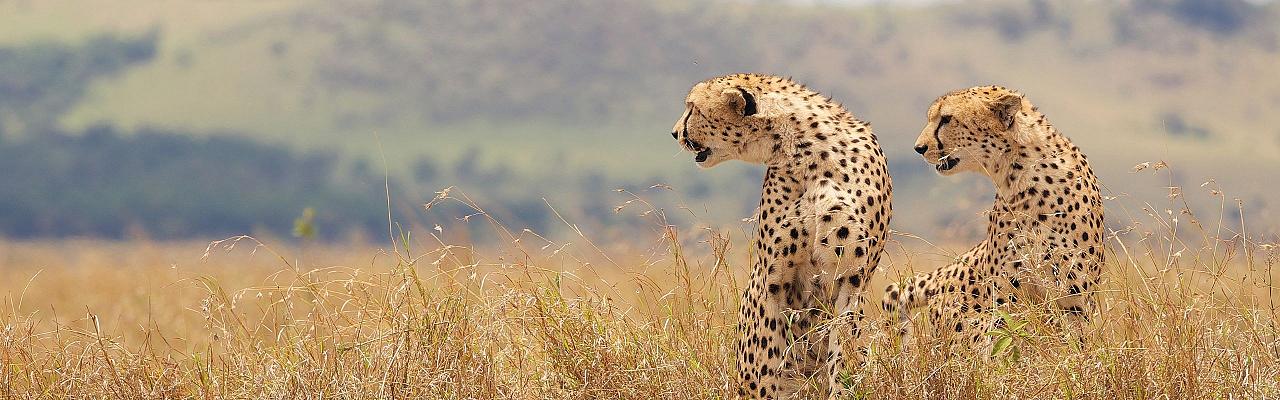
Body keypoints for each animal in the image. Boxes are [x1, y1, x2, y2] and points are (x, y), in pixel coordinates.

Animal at [670, 74, 890, 397]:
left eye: (693, 108)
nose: (674, 133)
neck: (806, 151)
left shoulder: (852, 278)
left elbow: (844, 351)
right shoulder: (773, 279)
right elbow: (766, 354)